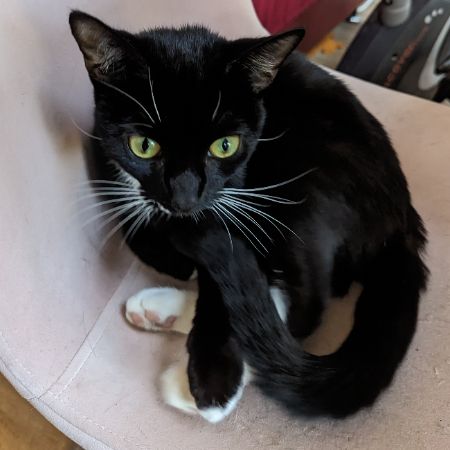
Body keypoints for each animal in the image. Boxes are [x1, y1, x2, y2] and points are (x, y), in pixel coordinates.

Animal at [70, 10, 428, 423]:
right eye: (143, 146)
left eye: (225, 146)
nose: (185, 199)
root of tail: (404, 224)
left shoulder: (233, 200)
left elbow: (222, 271)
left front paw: (214, 379)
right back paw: (160, 312)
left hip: (312, 181)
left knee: (305, 309)